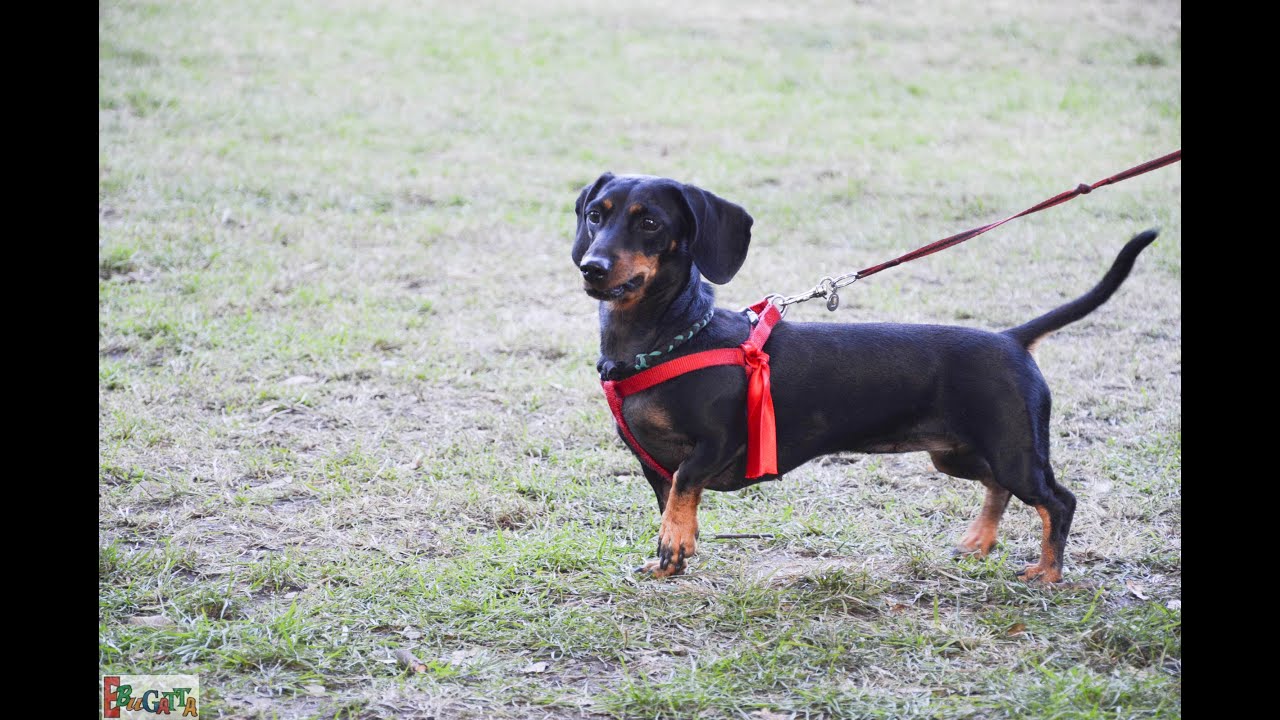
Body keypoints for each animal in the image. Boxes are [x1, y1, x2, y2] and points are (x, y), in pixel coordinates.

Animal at [576, 170, 1157, 579]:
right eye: (595, 216)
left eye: (650, 222)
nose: (592, 267)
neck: (672, 337)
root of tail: (1012, 338)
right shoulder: (653, 464)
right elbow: (672, 503)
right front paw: (668, 559)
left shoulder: (719, 443)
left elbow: (685, 484)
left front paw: (675, 544)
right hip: (959, 455)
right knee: (999, 488)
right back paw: (978, 542)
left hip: (1015, 451)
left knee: (1058, 501)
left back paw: (1048, 572)